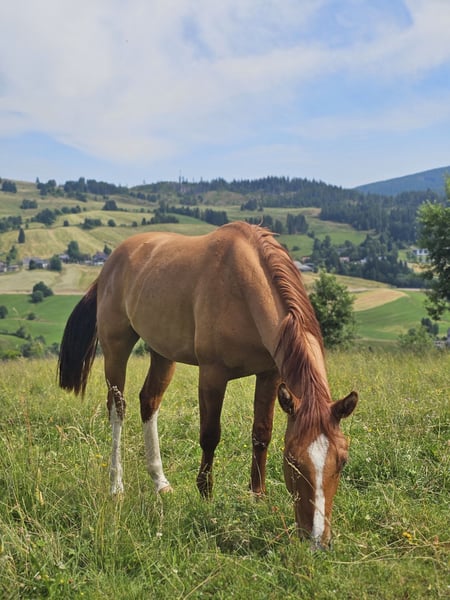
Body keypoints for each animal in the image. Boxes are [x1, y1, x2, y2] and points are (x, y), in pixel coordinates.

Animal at [58, 221, 357, 549]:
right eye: (292, 460)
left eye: (343, 461)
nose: (318, 539)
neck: (244, 287)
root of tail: (112, 262)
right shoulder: (213, 374)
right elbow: (210, 435)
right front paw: (205, 494)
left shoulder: (269, 375)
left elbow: (261, 435)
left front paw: (257, 497)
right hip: (116, 347)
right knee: (117, 409)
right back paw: (117, 486)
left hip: (162, 352)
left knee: (149, 402)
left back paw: (161, 483)